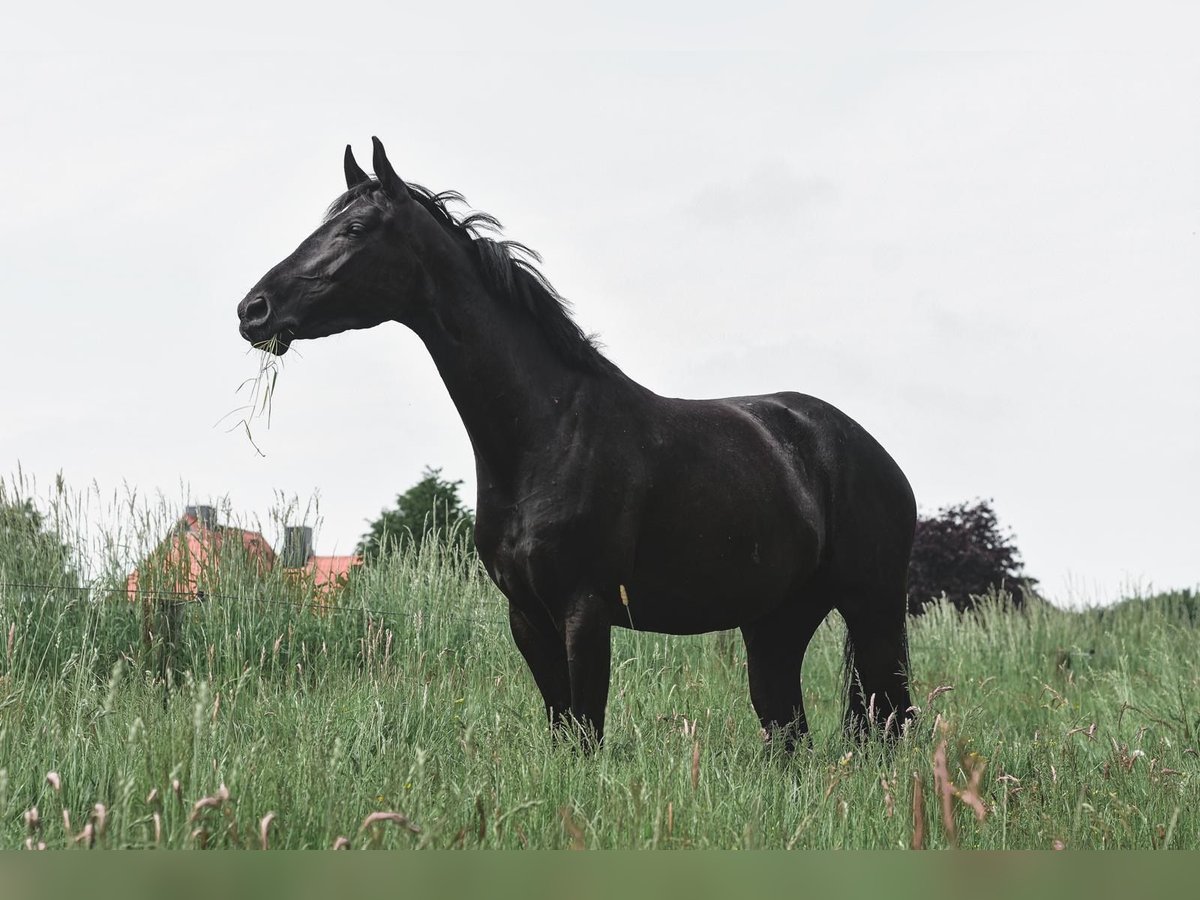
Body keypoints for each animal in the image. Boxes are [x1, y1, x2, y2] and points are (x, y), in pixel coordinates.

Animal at [236, 139, 916, 748]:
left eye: (354, 229)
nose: (254, 310)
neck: (549, 433)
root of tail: (872, 453)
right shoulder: (527, 616)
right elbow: (564, 729)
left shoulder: (584, 610)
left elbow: (587, 733)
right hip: (776, 622)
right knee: (790, 730)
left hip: (874, 612)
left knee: (888, 724)